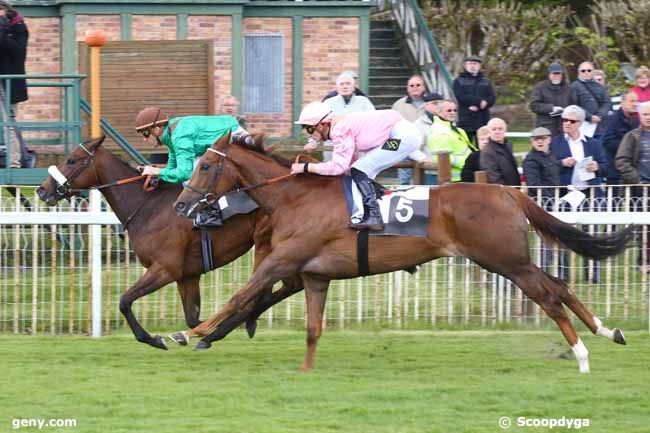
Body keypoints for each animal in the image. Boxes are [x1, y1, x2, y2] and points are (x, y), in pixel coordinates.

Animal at [38, 137, 304, 350]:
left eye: (72, 160)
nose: (42, 190)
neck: (147, 206)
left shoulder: (165, 269)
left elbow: (125, 301)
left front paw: (154, 339)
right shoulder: (187, 275)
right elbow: (192, 317)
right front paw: (194, 332)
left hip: (266, 244)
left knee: (266, 290)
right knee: (287, 286)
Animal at [170, 135, 632, 372]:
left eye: (205, 166)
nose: (181, 205)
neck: (293, 197)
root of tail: (508, 190)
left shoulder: (282, 261)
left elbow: (238, 298)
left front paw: (185, 334)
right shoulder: (315, 275)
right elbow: (312, 328)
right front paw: (305, 373)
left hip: (505, 260)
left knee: (549, 296)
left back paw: (583, 355)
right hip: (511, 259)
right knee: (559, 285)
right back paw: (608, 331)